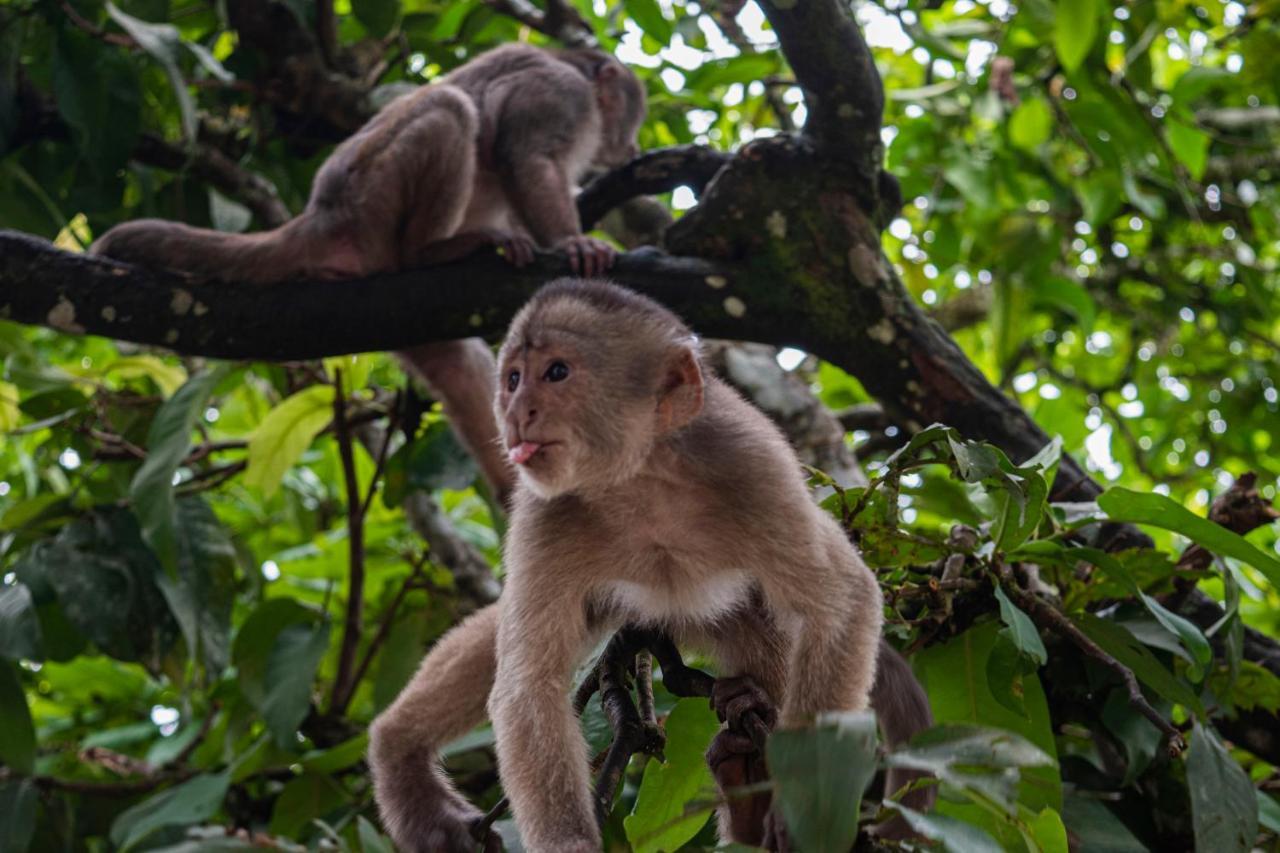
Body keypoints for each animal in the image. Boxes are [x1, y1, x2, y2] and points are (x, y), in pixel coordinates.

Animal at [93, 43, 645, 502]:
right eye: (633, 119)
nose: (632, 148)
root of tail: (321, 212)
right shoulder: (562, 93)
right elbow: (525, 157)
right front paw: (571, 242)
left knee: (456, 362)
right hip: (370, 198)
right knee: (450, 109)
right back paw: (430, 250)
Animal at [368, 280, 931, 850]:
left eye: (557, 372)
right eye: (512, 379)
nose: (516, 411)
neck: (641, 478)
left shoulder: (751, 465)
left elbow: (843, 602)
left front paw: (801, 810)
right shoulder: (544, 512)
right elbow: (528, 685)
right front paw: (569, 840)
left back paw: (749, 773)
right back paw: (399, 748)